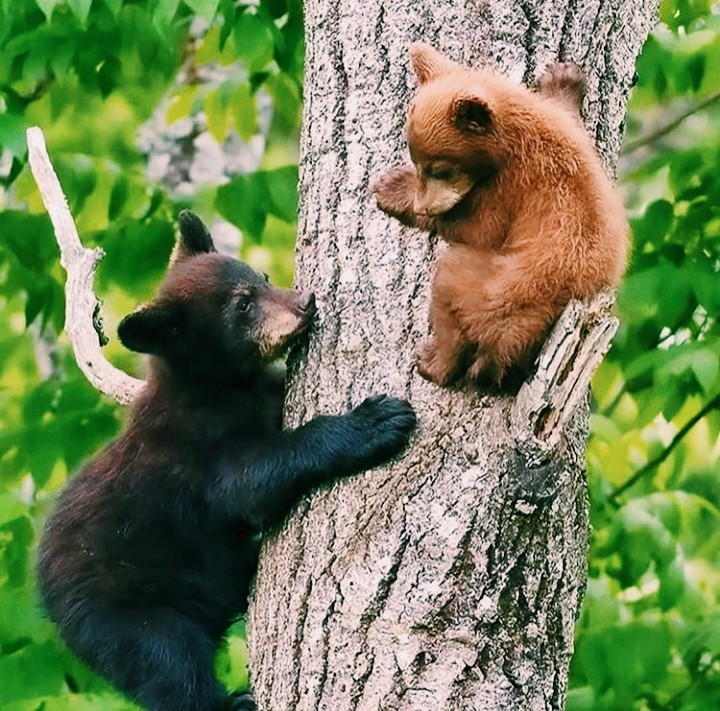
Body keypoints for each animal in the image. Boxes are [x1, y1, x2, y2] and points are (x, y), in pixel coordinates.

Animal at [37, 211, 417, 711]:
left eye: (263, 278)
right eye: (242, 305)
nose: (306, 301)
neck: (220, 385)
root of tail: (47, 600)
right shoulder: (201, 445)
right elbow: (249, 481)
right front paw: (374, 421)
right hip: (121, 613)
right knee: (167, 663)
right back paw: (232, 701)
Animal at [373, 42, 629, 389]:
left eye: (440, 169)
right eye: (417, 160)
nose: (424, 205)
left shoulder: (514, 183)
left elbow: (480, 228)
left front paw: (393, 189)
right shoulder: (565, 134)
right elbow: (571, 118)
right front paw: (564, 79)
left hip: (495, 294)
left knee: (450, 287)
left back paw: (434, 361)